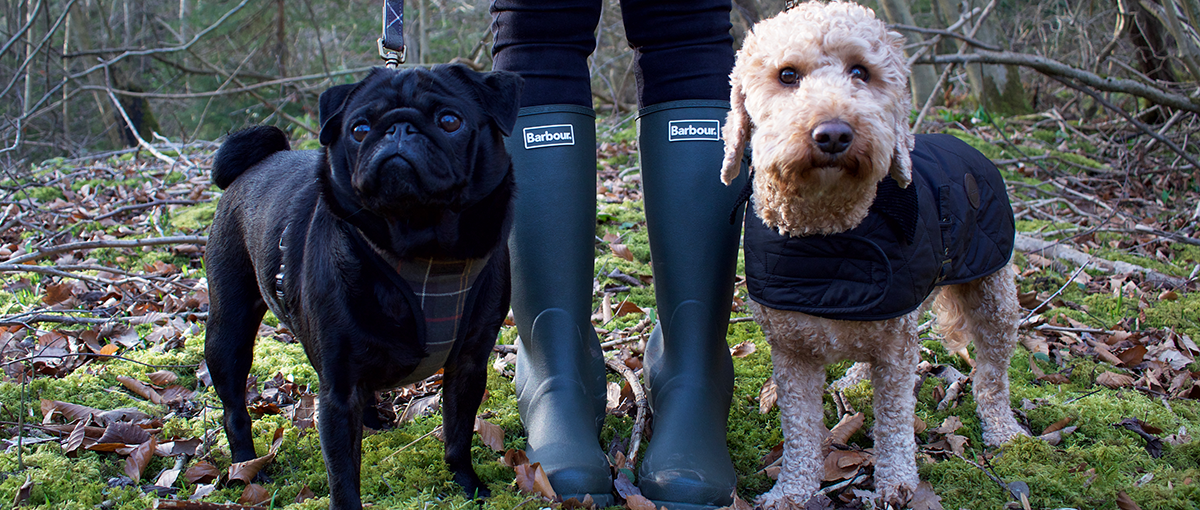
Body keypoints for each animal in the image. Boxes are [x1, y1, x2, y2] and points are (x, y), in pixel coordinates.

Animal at [715, 1, 1027, 506]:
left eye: (860, 71)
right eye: (787, 75)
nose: (834, 134)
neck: (827, 240)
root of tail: (964, 144)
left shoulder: (898, 350)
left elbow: (895, 421)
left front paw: (896, 482)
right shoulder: (791, 351)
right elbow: (800, 429)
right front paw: (792, 490)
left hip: (994, 294)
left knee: (993, 376)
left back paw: (1003, 430)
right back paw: (855, 378)